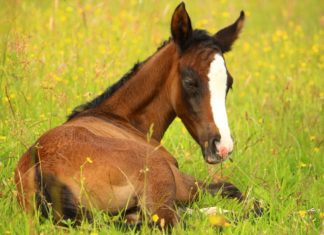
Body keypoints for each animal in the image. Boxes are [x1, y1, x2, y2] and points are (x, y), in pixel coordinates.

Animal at [13, 2, 246, 228]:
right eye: (190, 82)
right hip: (159, 175)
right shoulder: (183, 182)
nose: (222, 147)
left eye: (229, 83)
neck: (120, 118)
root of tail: (42, 171)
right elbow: (230, 189)